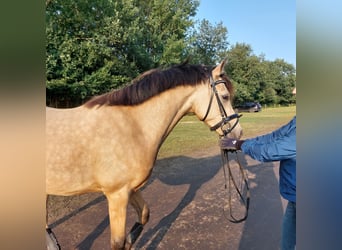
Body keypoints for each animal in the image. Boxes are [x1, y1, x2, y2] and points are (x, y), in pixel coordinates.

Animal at [46, 58, 243, 248]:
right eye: (225, 96)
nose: (238, 132)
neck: (133, 126)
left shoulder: (131, 189)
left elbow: (144, 216)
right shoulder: (117, 195)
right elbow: (117, 242)